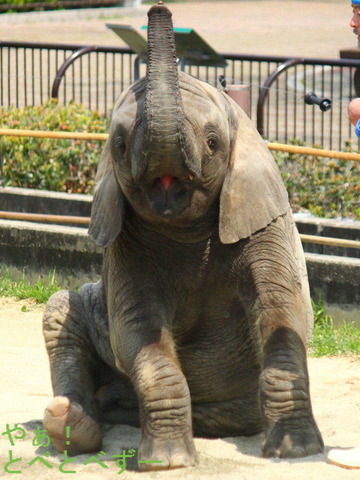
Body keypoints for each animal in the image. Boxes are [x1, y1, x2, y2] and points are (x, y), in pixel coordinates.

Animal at [42, 0, 324, 472]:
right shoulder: (124, 243)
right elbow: (137, 327)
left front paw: (297, 452)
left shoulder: (266, 224)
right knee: (60, 311)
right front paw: (169, 463)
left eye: (212, 142)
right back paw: (70, 423)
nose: (158, 7)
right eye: (120, 146)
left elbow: (283, 309)